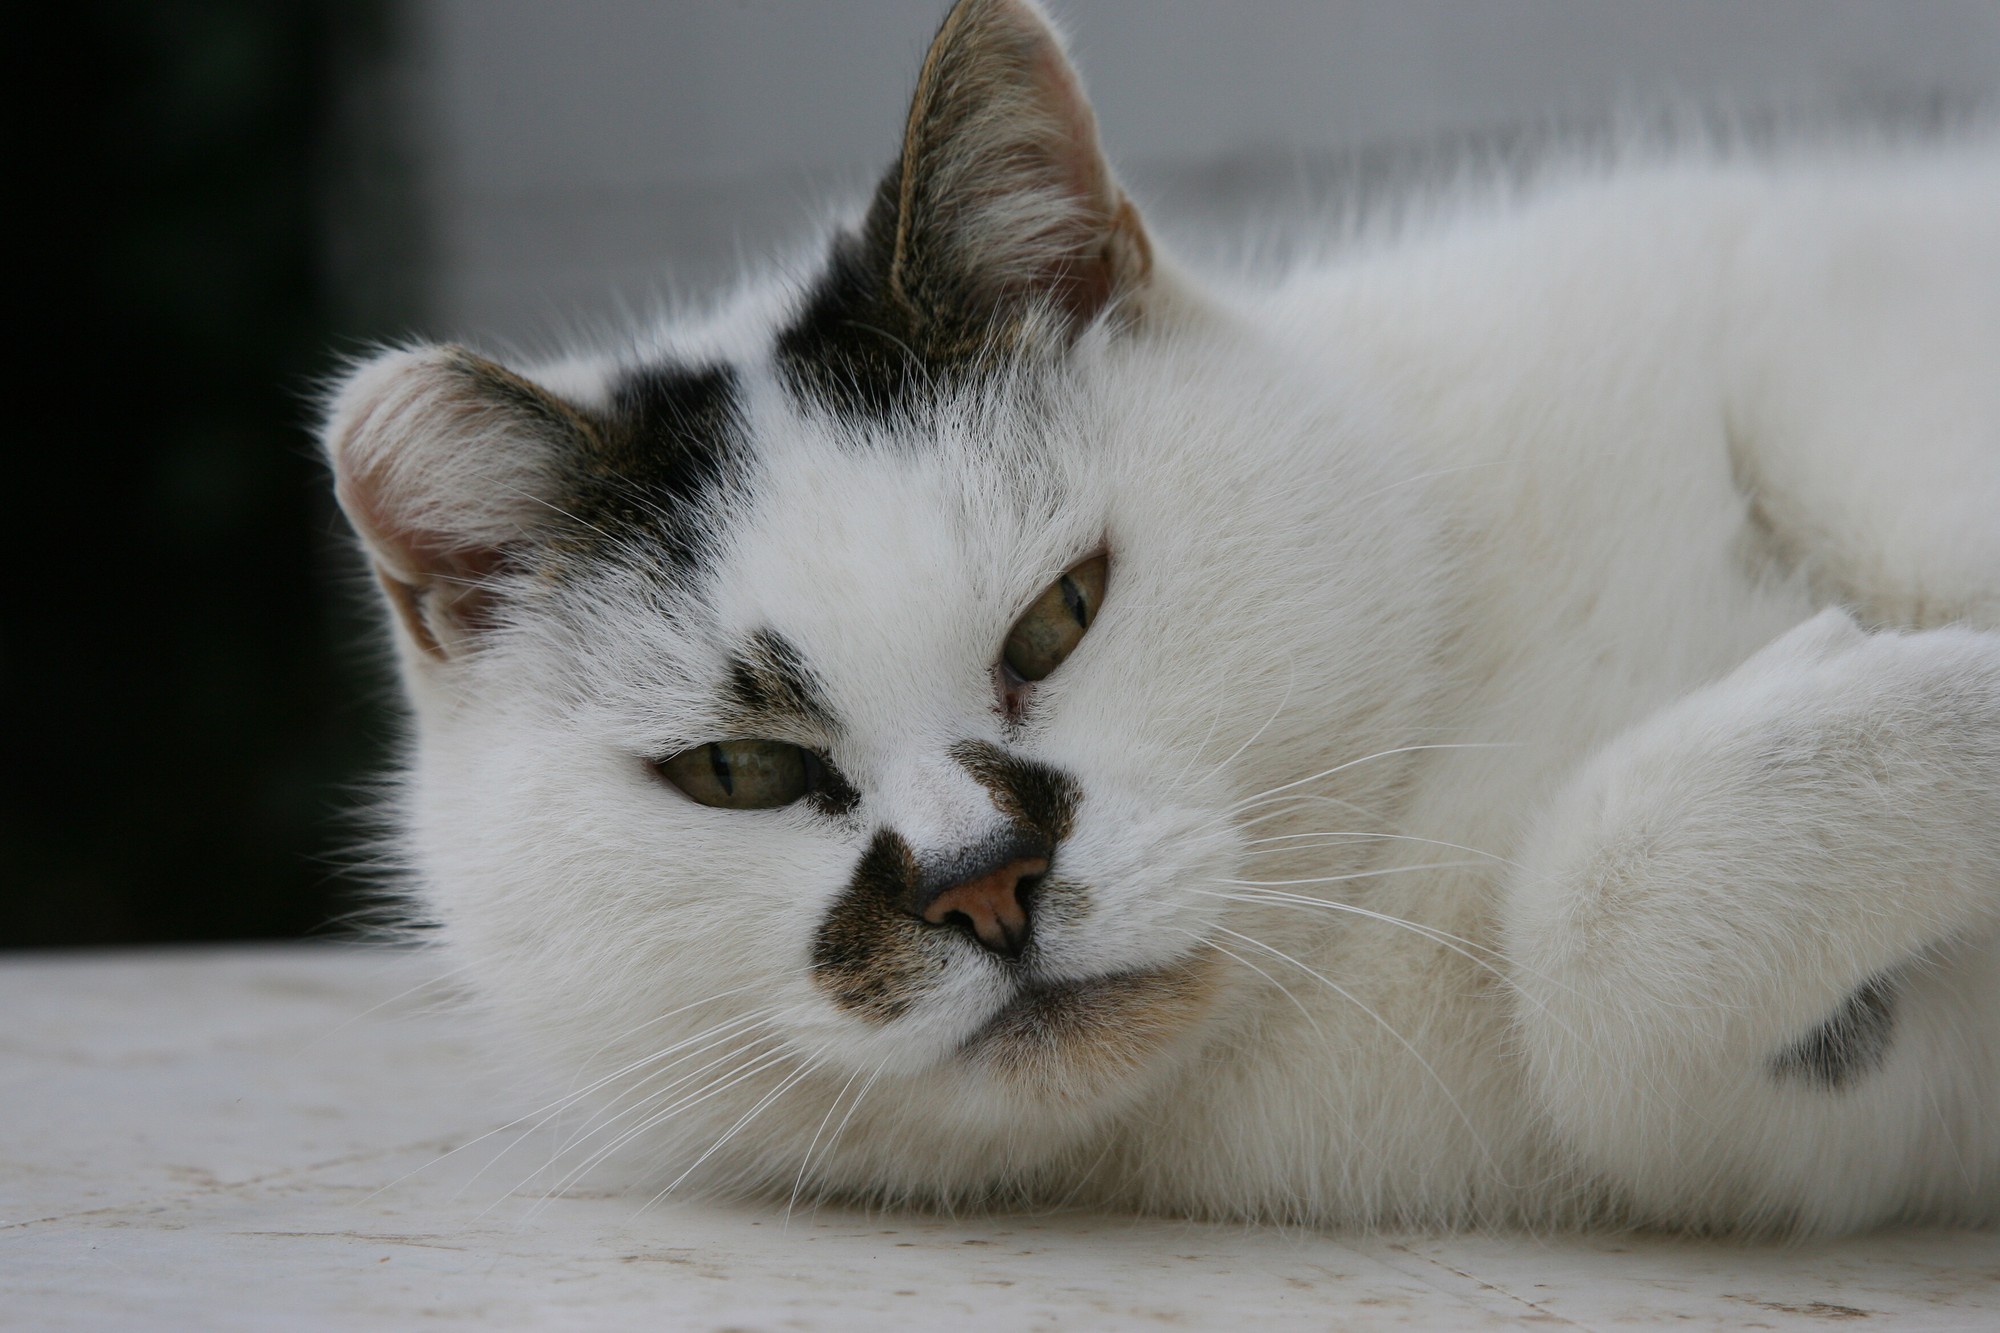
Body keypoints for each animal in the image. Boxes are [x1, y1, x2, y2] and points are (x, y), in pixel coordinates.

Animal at [320, 0, 2000, 1232]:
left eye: (1061, 616)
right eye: (739, 772)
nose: (985, 882)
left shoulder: (1818, 304)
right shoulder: (1843, 1123)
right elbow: (1599, 962)